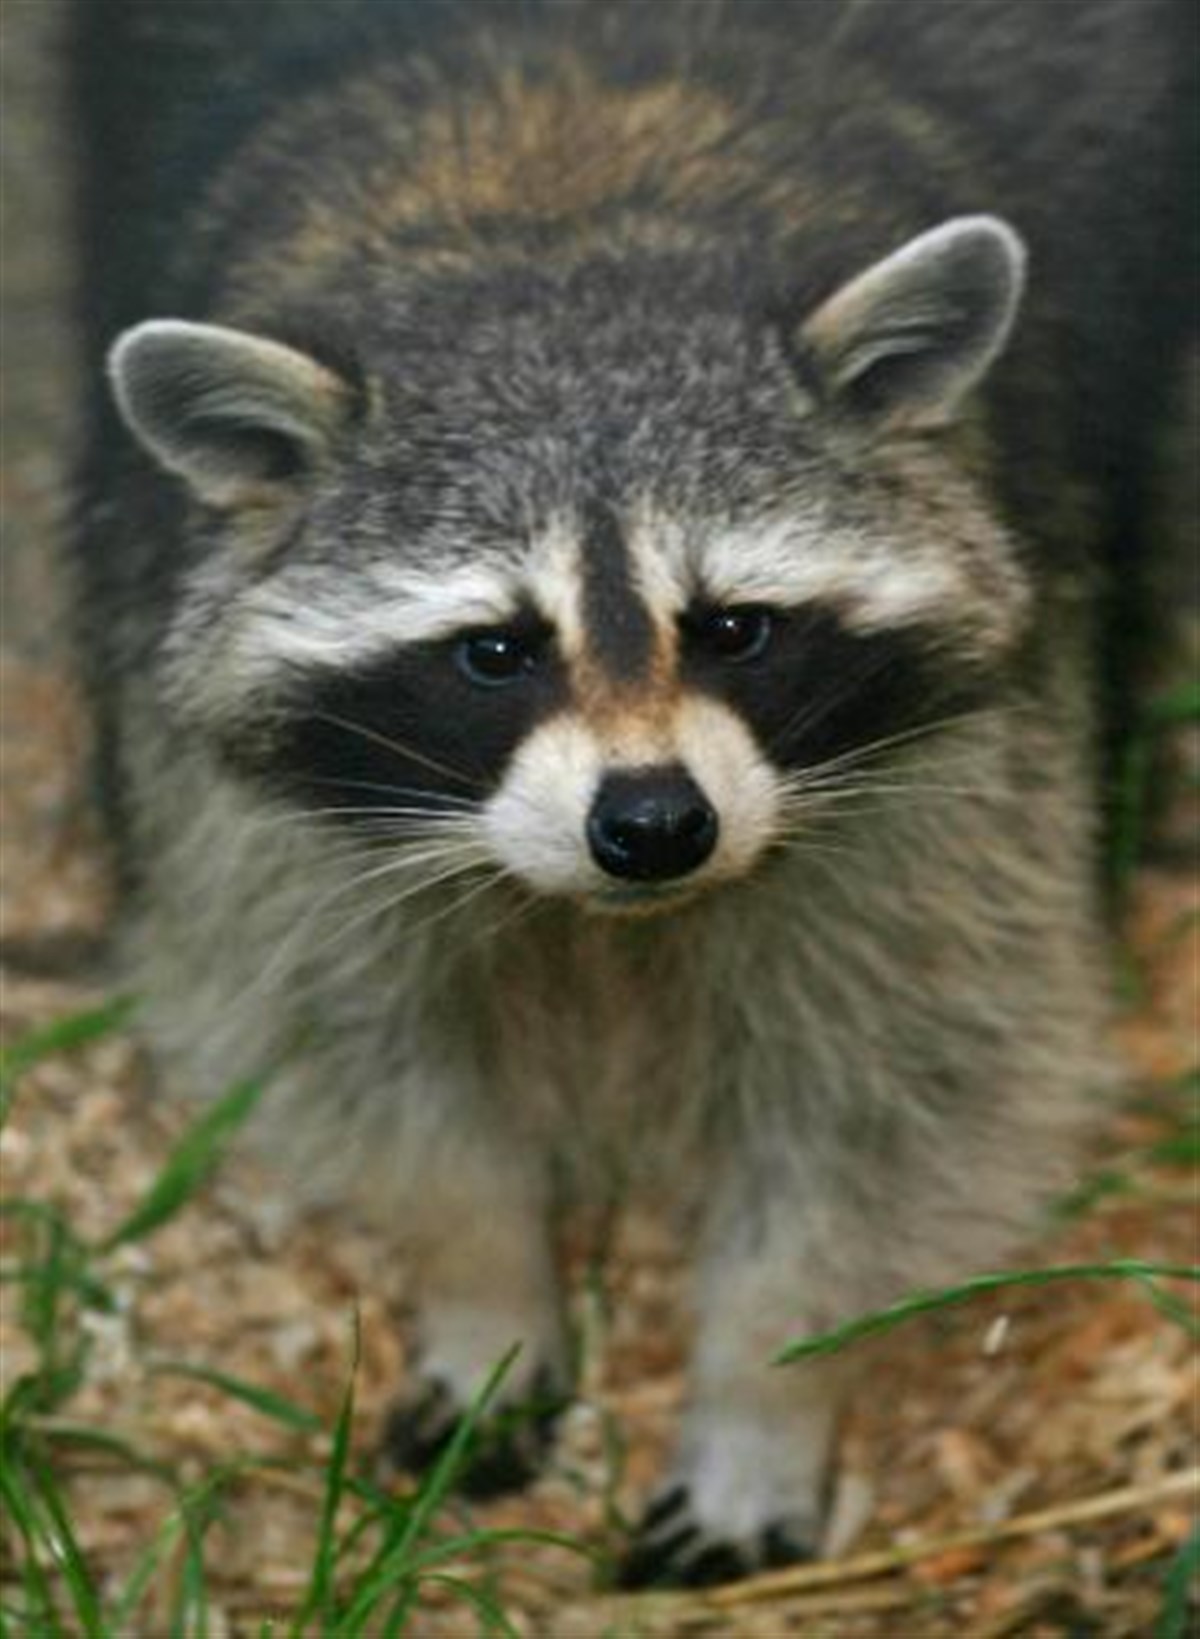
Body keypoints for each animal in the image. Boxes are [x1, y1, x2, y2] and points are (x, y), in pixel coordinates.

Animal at [71, 0, 1195, 1587]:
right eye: (496, 650)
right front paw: (484, 1284)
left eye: (733, 627)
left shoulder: (969, 764)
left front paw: (765, 1384)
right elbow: (358, 1050)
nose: (655, 825)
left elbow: (905, 1084)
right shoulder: (247, 803)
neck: (567, 224)